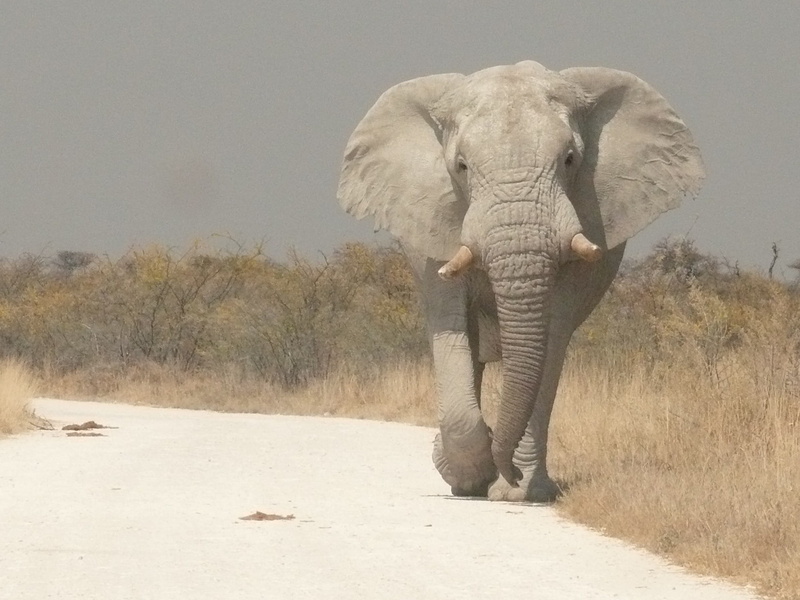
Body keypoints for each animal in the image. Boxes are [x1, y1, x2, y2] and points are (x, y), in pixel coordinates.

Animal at [337, 61, 704, 502]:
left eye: (569, 160)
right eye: (461, 167)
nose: (507, 471)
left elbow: (550, 338)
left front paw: (518, 491)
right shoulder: (433, 232)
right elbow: (452, 326)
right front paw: (472, 474)